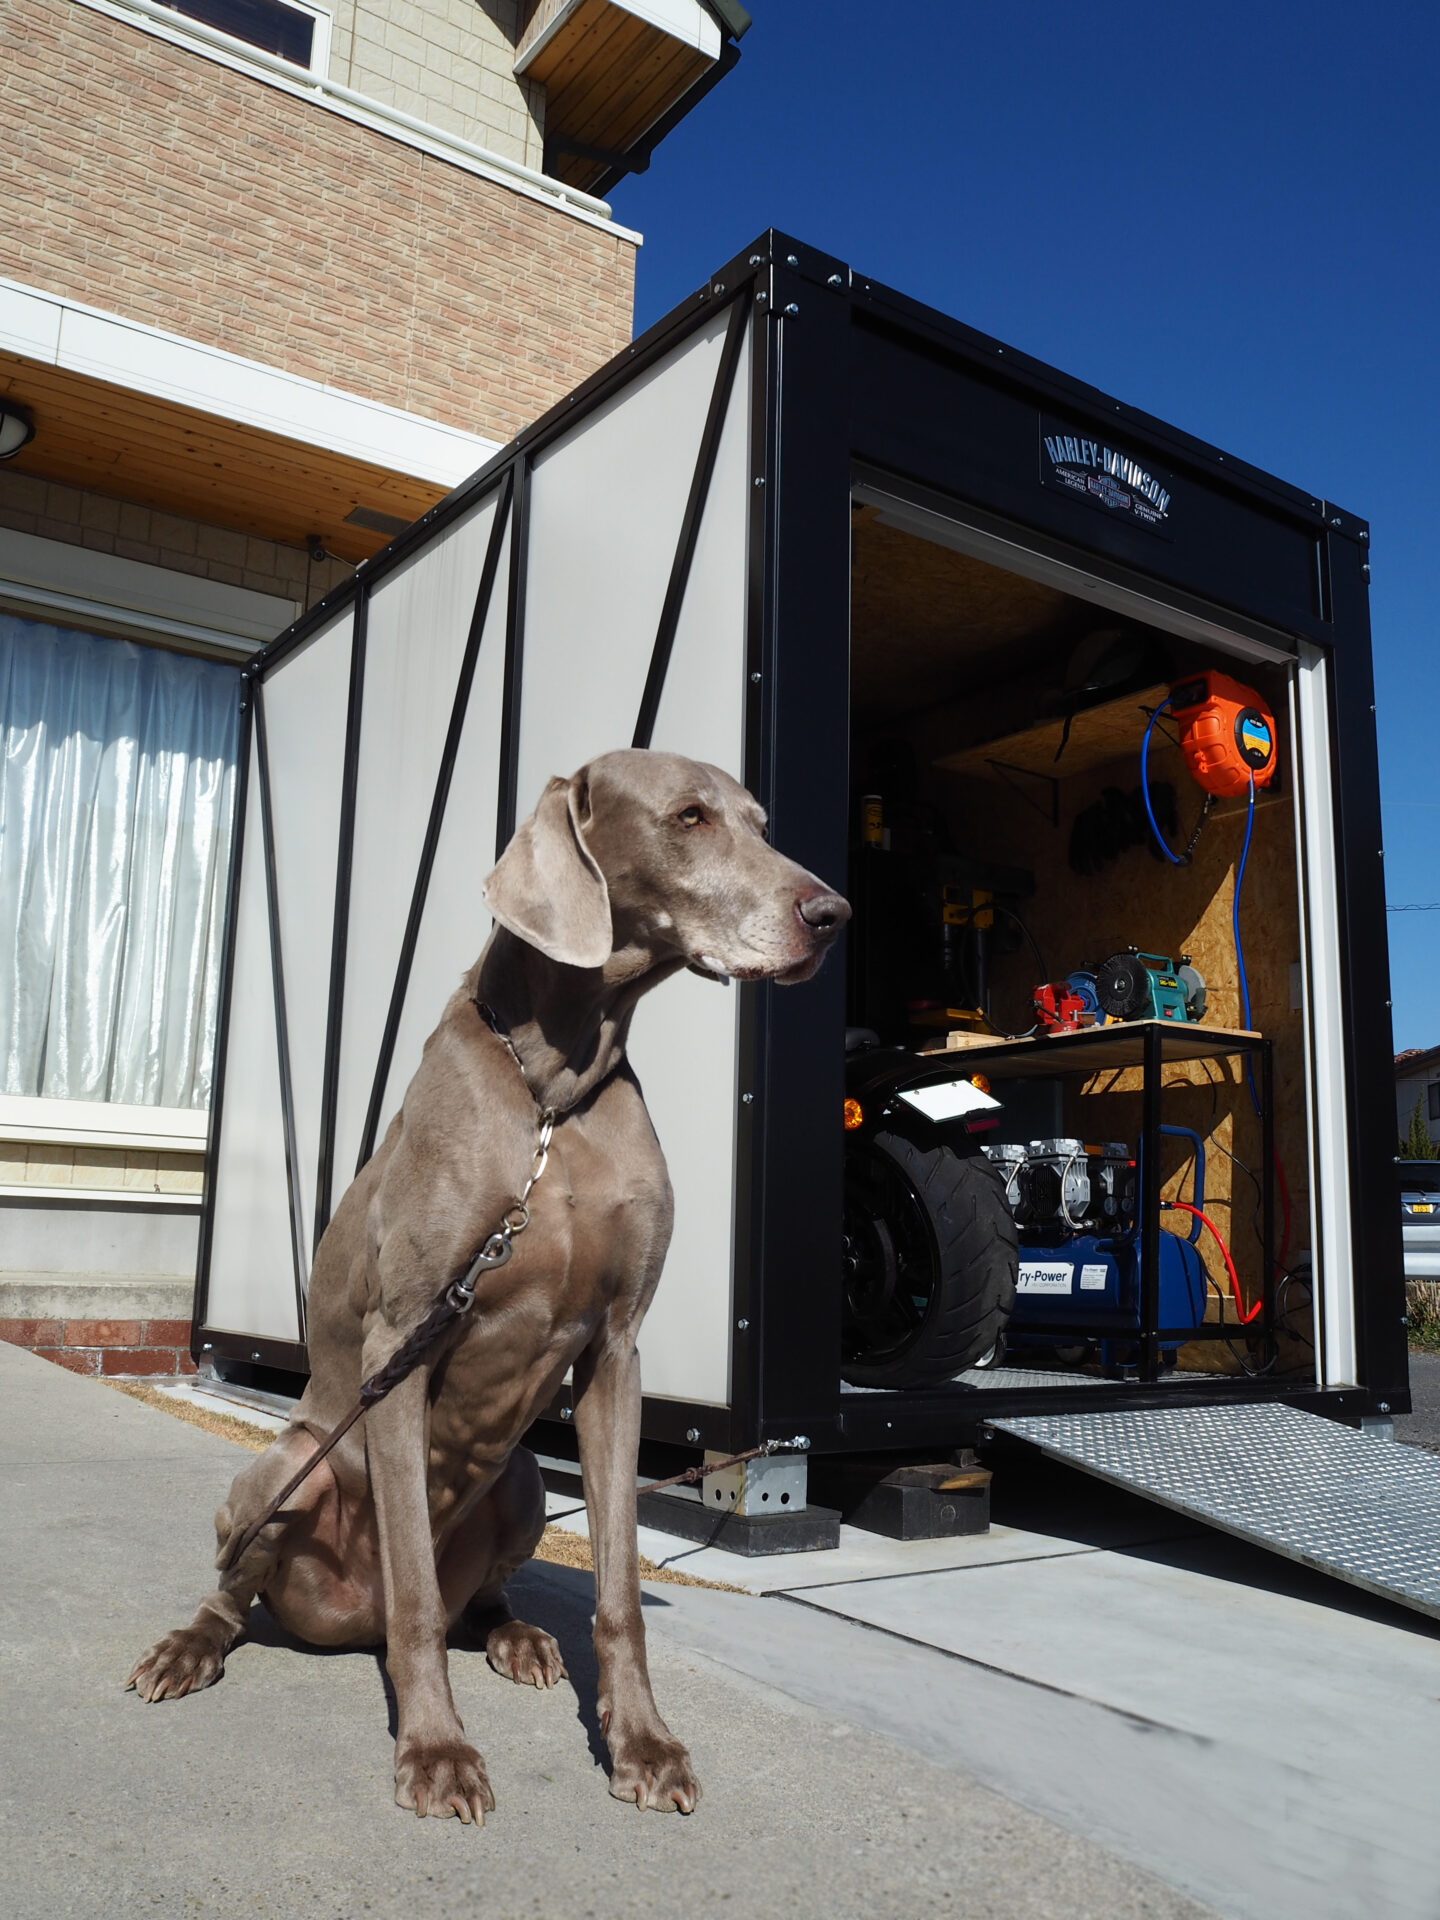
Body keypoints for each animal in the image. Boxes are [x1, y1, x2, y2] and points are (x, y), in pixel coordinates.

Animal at [129, 741, 852, 1820]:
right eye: (688, 818)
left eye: (762, 823)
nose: (833, 914)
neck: (554, 1091)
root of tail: (349, 1622)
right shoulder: (402, 1336)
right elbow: (421, 1603)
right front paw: (435, 1752)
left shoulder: (616, 1351)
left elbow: (616, 1589)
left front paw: (643, 1744)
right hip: (281, 1471)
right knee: (247, 1586)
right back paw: (189, 1647)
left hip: (519, 1482)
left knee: (479, 1596)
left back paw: (517, 1637)